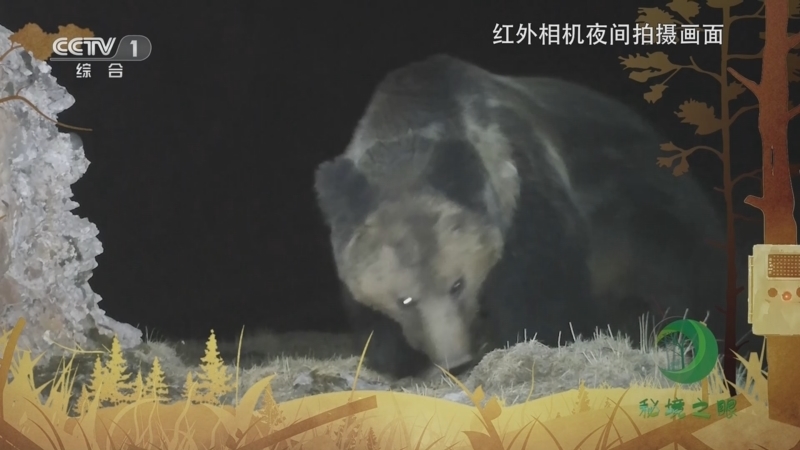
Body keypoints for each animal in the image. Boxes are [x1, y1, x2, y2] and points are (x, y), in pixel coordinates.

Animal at [313, 54, 726, 379]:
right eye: (405, 300)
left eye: (457, 283)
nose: (456, 361)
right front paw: (397, 355)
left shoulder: (526, 194)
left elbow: (544, 294)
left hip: (648, 219)